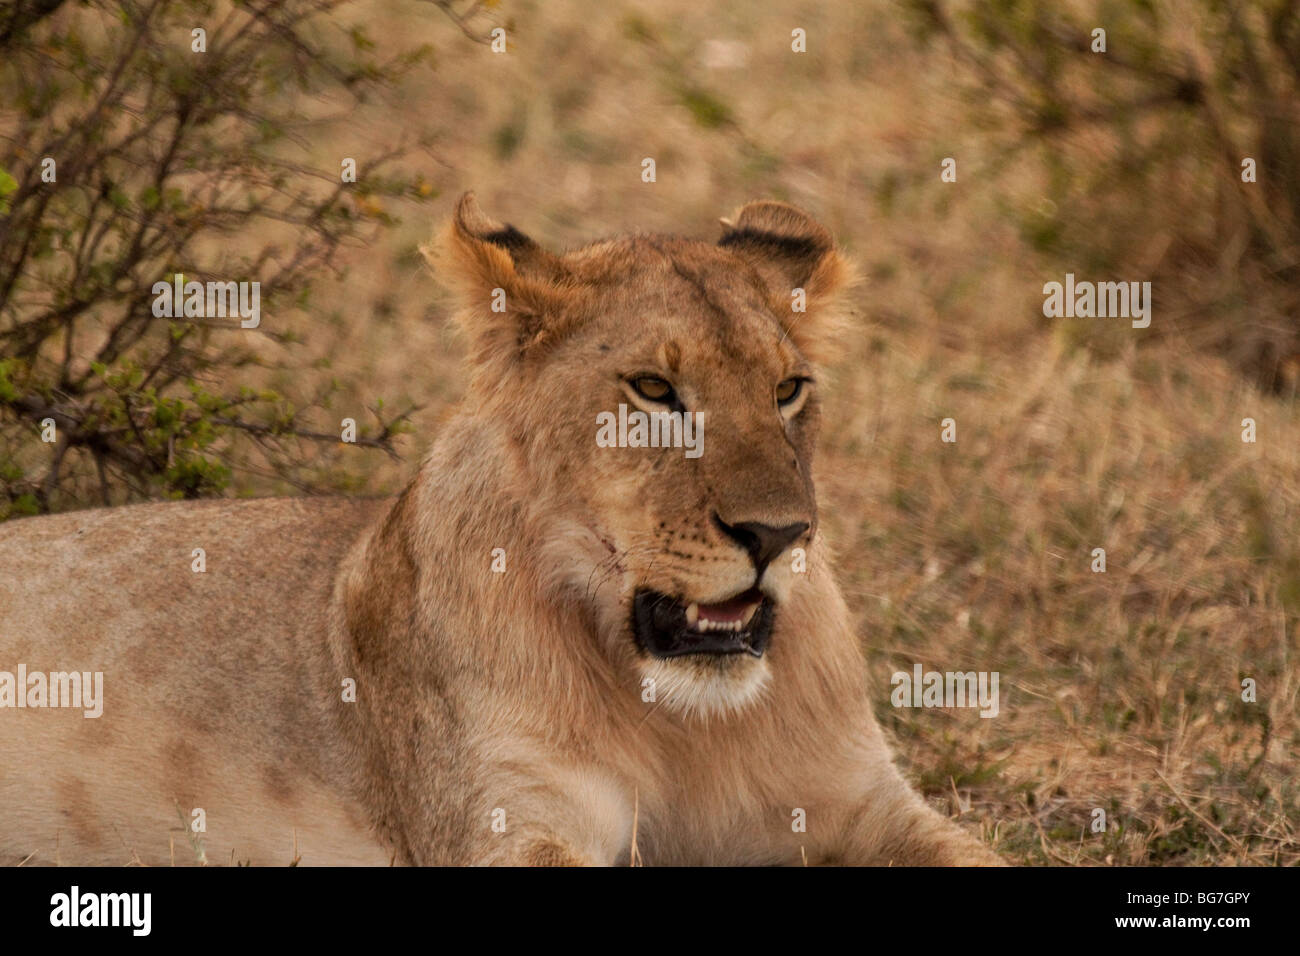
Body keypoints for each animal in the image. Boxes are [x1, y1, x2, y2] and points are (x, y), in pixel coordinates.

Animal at [0, 194, 1002, 866]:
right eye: (653, 390)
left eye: (788, 389)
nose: (777, 534)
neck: (678, 719)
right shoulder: (510, 824)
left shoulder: (863, 803)